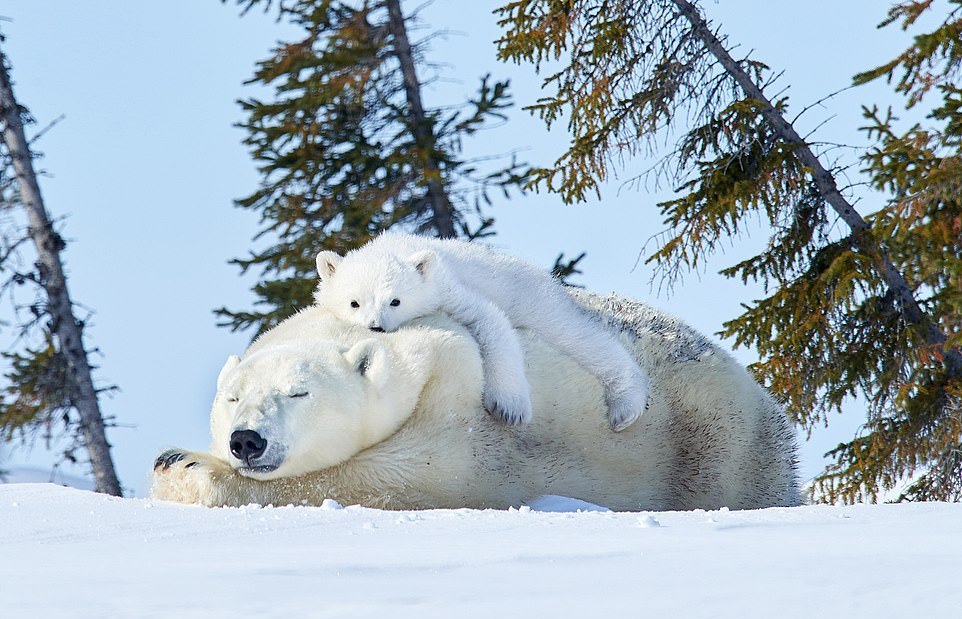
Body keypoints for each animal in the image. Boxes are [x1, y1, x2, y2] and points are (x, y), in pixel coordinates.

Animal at [148, 294, 796, 512]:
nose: (245, 440)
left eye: (298, 392)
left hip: (716, 437)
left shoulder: (460, 393)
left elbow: (410, 477)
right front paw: (175, 458)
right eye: (232, 397)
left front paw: (186, 468)